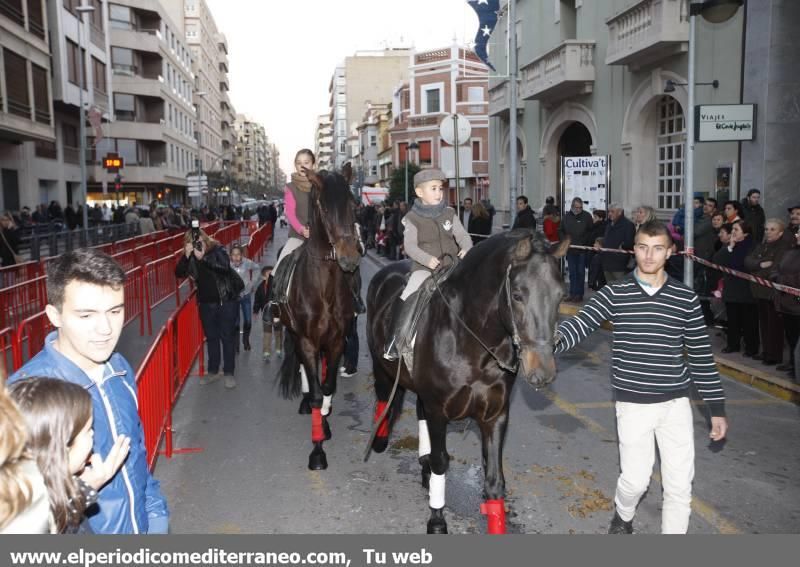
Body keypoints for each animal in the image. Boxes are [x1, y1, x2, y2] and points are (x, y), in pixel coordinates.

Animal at [278, 164, 360, 470]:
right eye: (323, 208)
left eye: (353, 204)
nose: (350, 258)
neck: (323, 287)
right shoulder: (306, 340)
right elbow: (315, 393)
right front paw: (317, 451)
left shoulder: (336, 340)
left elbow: (327, 386)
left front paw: (325, 424)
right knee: (305, 371)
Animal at [366, 229, 564, 536]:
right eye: (517, 295)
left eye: (560, 295)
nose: (542, 371)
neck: (469, 341)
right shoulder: (438, 410)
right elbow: (441, 461)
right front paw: (437, 519)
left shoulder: (495, 415)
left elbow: (494, 481)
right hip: (383, 369)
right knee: (384, 398)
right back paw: (381, 438)